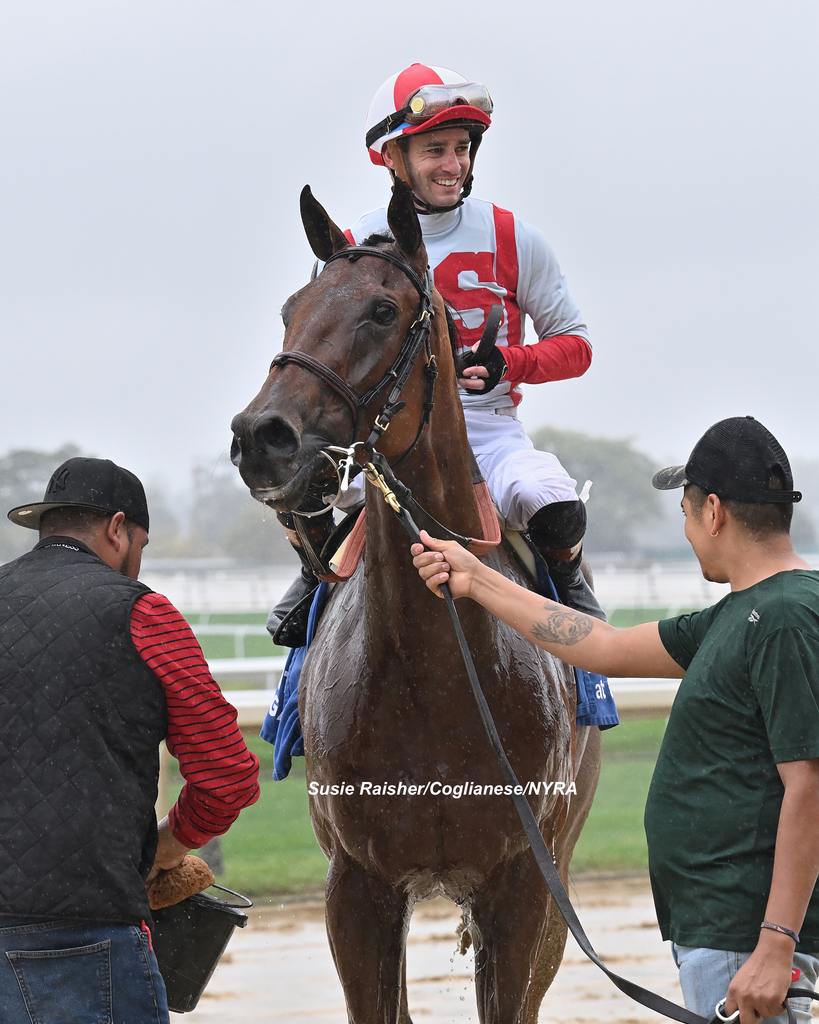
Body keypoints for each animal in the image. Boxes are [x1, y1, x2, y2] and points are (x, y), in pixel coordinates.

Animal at [230, 180, 601, 1019]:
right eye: (291, 307)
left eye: (381, 309)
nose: (261, 435)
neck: (437, 673)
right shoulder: (357, 889)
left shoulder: (523, 885)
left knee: (560, 512)